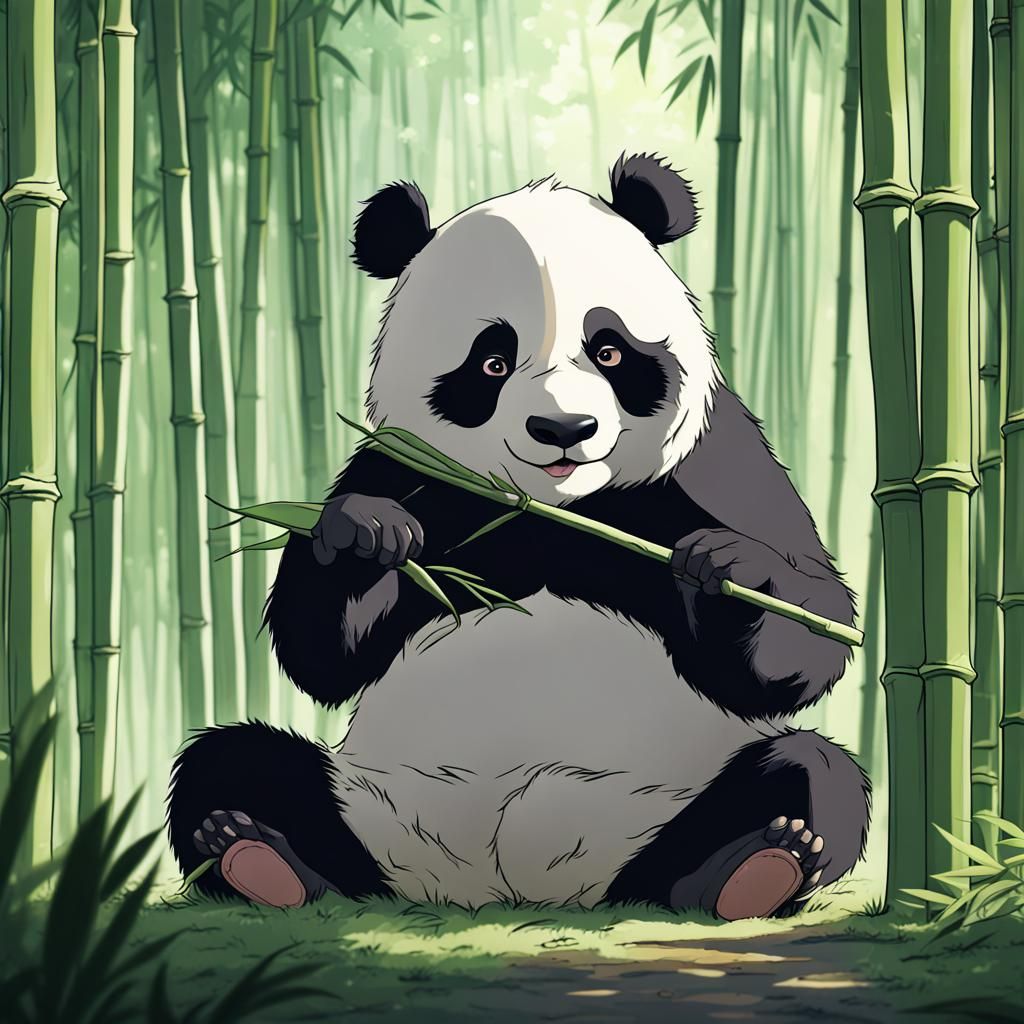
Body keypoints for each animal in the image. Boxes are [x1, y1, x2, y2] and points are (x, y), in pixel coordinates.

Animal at [168, 154, 869, 919]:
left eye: (609, 350)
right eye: (491, 363)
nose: (563, 429)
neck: (547, 510)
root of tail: (512, 887)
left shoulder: (717, 460)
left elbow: (805, 632)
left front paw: (727, 569)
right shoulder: (407, 468)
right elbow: (323, 654)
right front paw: (366, 535)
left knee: (808, 771)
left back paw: (755, 866)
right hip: (370, 807)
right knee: (234, 763)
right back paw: (254, 853)